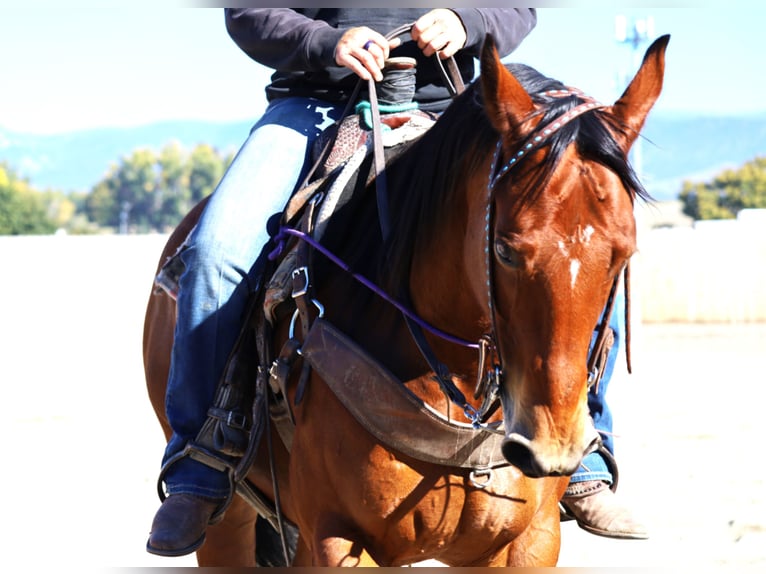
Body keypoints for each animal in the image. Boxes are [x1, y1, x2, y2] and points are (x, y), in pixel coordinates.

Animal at [143, 34, 669, 566]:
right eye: (504, 249)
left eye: (625, 252)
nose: (553, 447)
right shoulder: (339, 538)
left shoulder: (530, 541)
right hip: (231, 522)